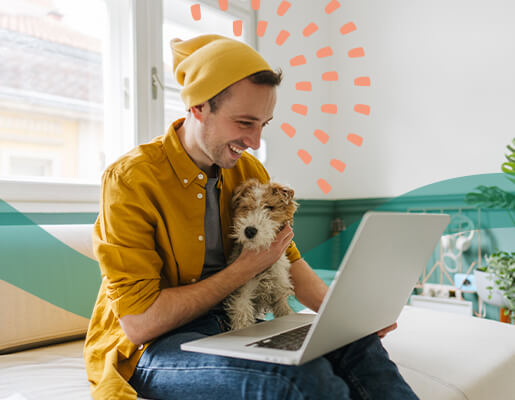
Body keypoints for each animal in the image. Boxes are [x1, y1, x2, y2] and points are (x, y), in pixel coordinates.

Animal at [224, 180, 300, 330]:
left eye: (270, 207)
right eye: (246, 207)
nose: (249, 231)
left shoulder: (280, 295)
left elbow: (285, 312)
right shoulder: (243, 295)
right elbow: (242, 321)